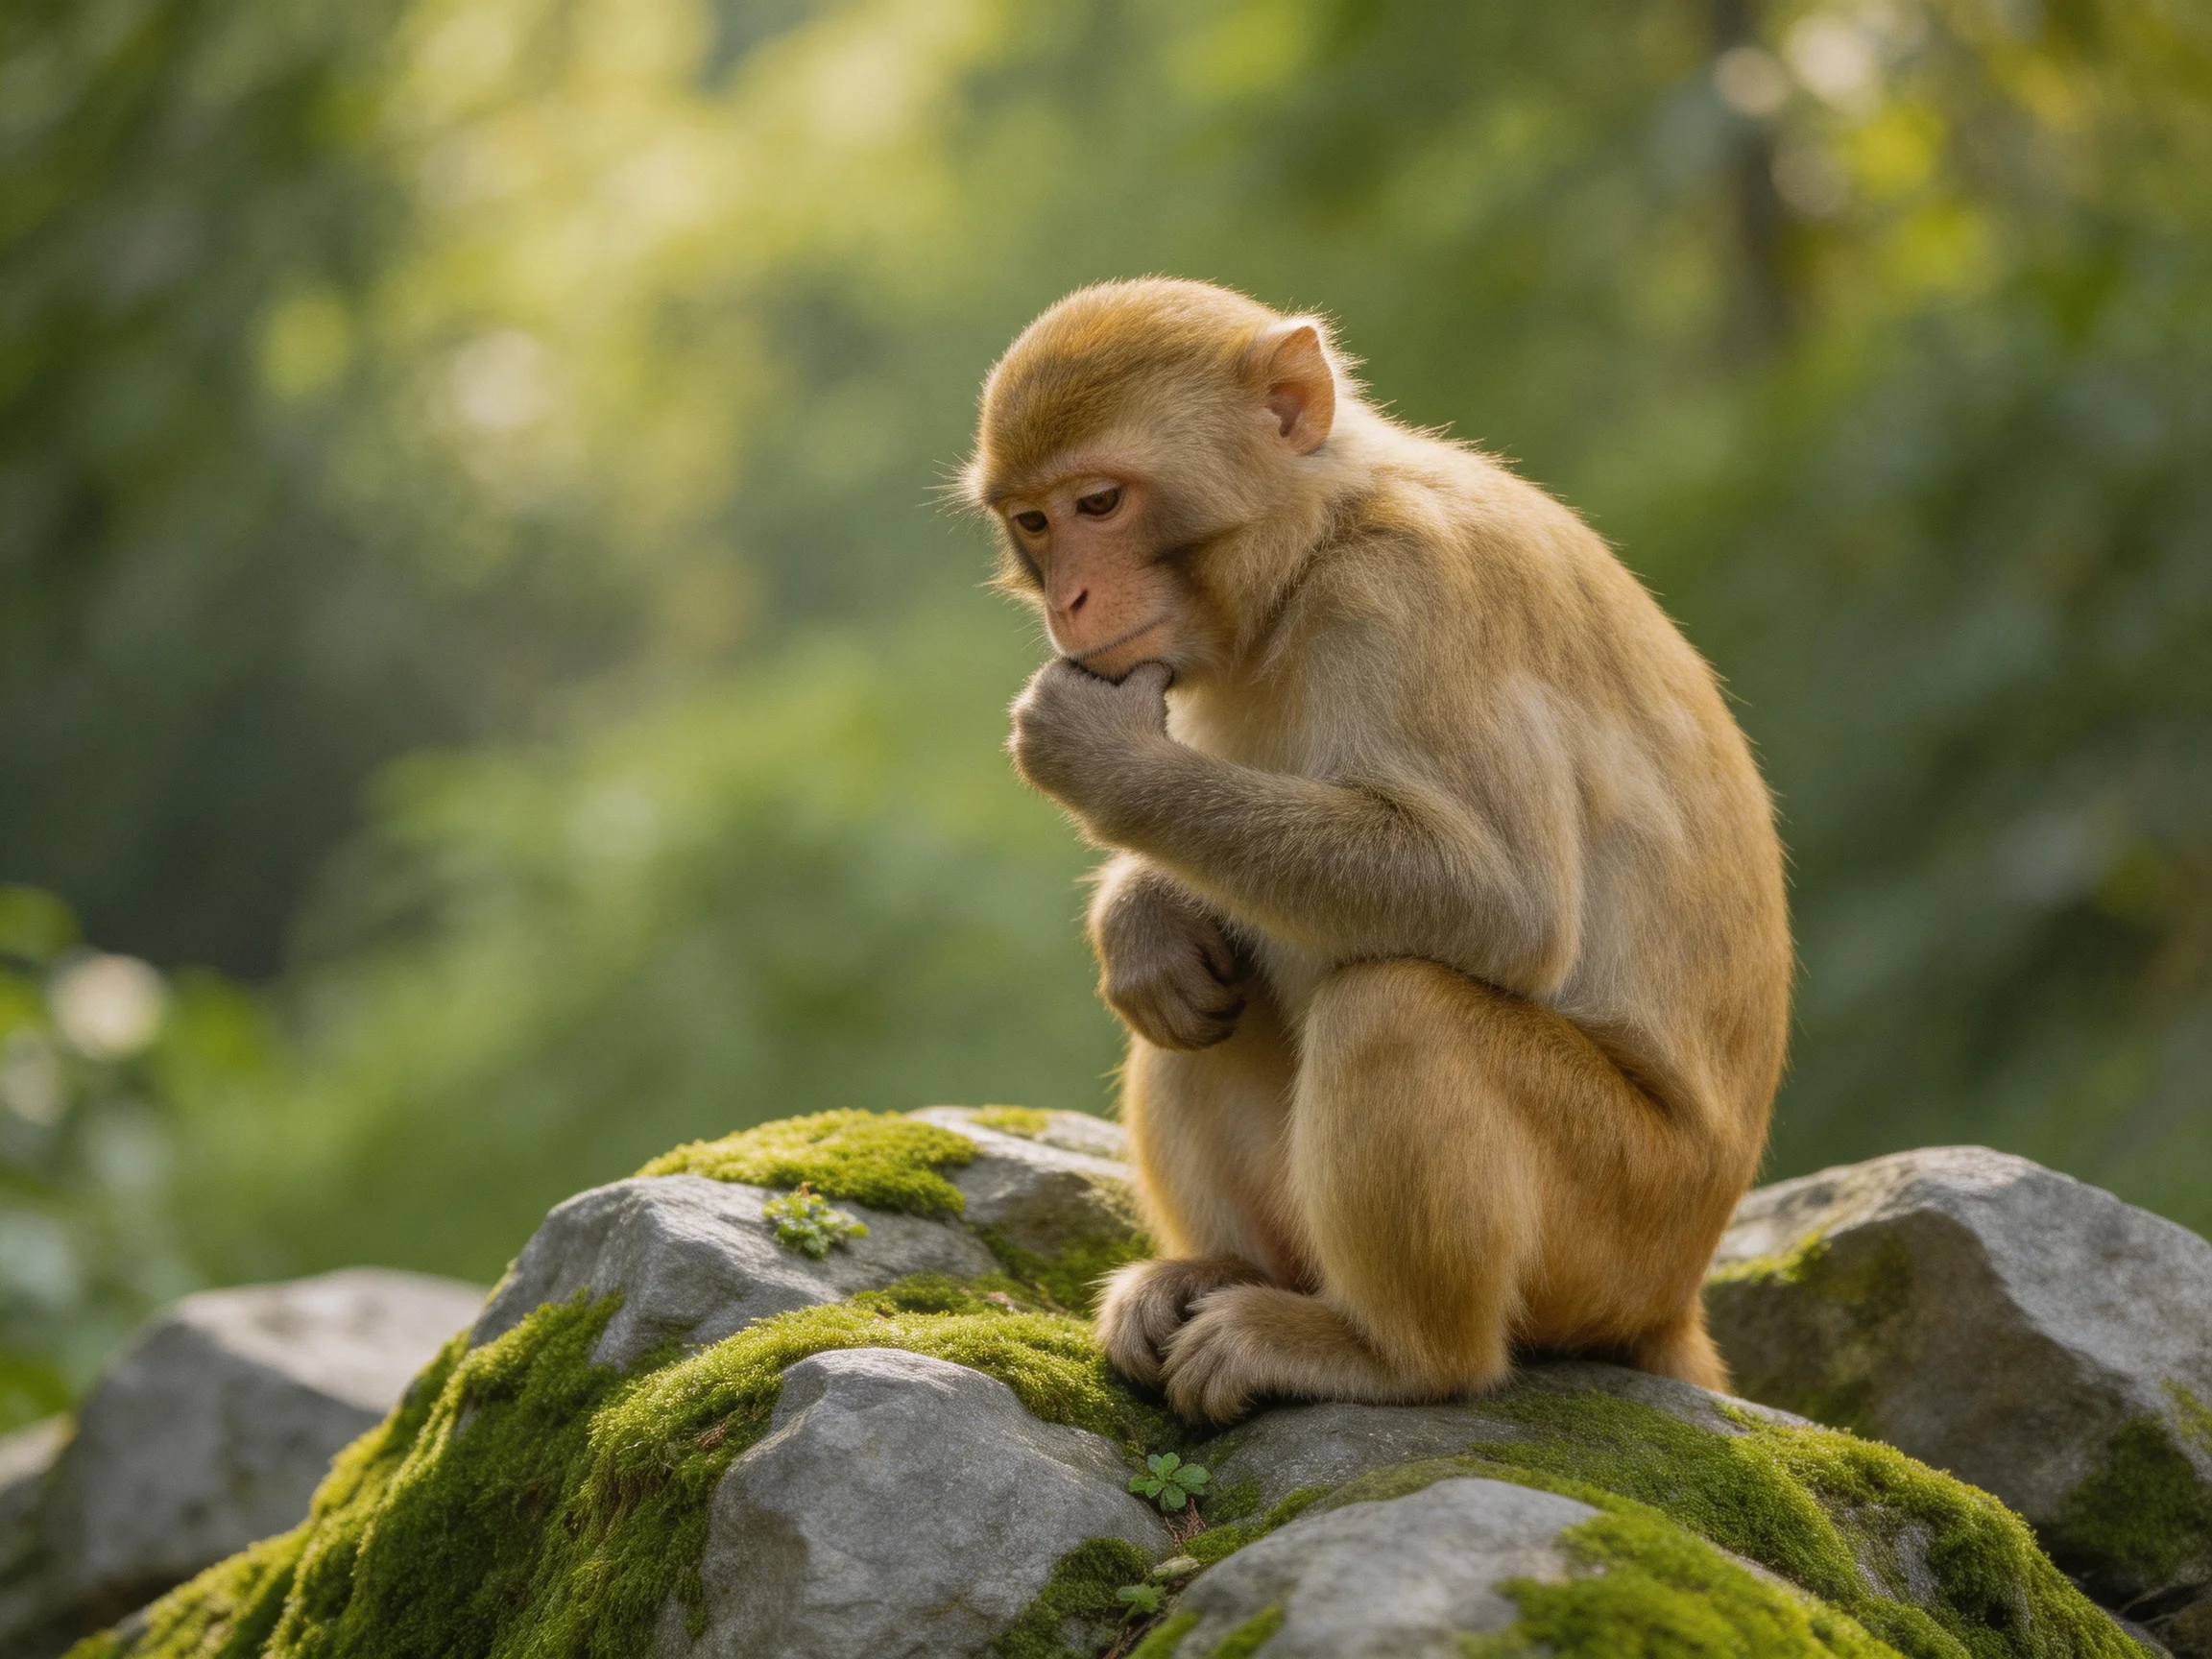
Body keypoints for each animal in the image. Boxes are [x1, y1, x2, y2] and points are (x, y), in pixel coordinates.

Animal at [964, 278, 1791, 1424]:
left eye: (1100, 504)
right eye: (1036, 522)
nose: (1066, 599)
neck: (1314, 546)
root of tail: (1677, 1294)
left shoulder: (1410, 594)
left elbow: (1502, 903)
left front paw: (1106, 764)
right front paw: (1140, 915)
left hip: (1618, 1228)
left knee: (1399, 1004)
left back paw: (1389, 1355)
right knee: (1194, 1013)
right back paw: (1216, 1264)